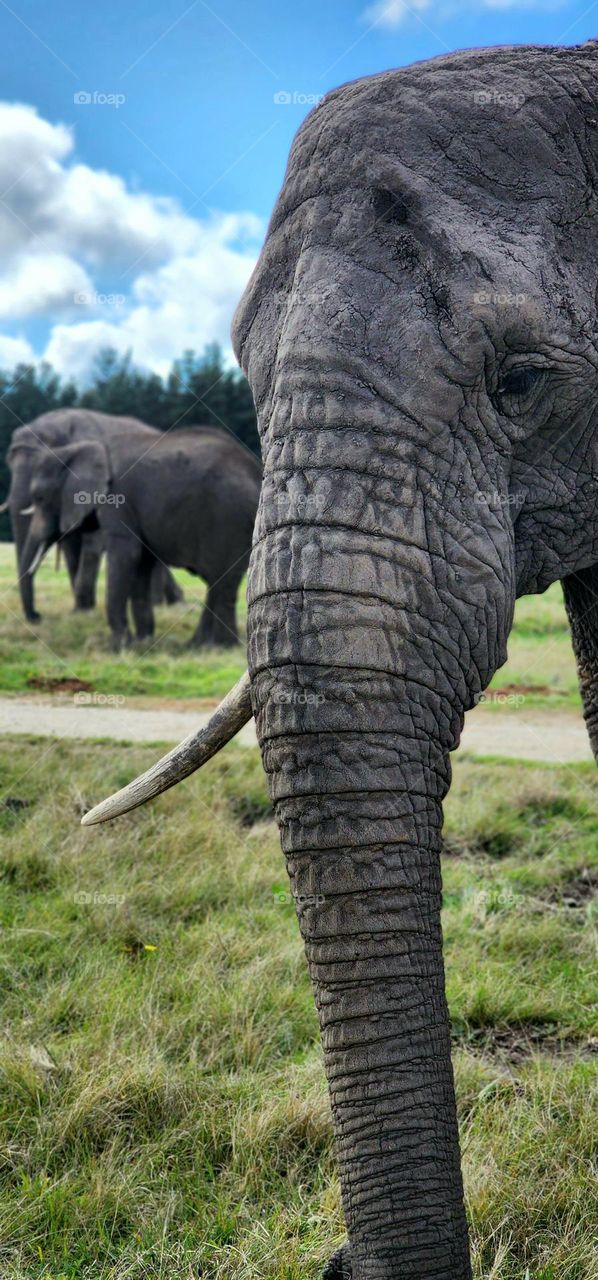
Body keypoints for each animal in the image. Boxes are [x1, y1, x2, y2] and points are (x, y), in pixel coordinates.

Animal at [2, 412, 183, 622]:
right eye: (9, 464)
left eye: (41, 495)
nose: (38, 617)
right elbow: (71, 547)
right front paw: (80, 611)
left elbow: (91, 545)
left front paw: (83, 612)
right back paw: (173, 603)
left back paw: (164, 605)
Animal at [23, 427, 262, 650]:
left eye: (39, 497)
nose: (37, 617)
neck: (83, 448)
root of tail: (256, 471)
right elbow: (142, 563)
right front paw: (143, 643)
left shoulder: (117, 500)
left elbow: (126, 555)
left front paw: (119, 647)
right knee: (216, 581)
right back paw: (198, 646)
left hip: (228, 520)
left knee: (221, 580)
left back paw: (216, 647)